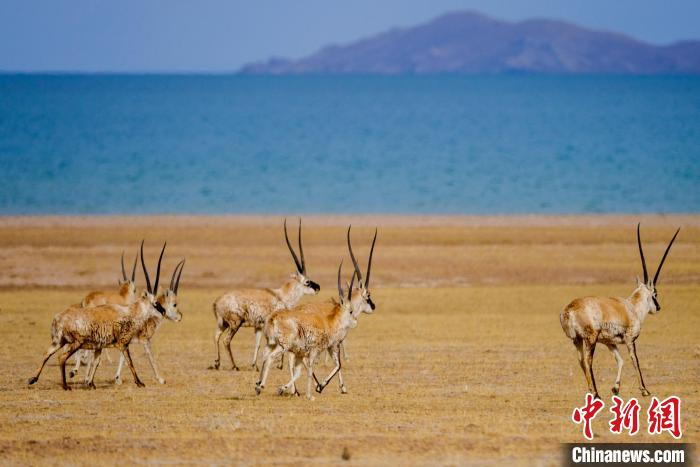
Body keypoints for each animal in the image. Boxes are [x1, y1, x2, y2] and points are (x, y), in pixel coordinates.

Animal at [208, 220, 318, 372]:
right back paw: (234, 366)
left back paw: (217, 363)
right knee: (226, 340)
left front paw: (255, 365)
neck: (281, 295)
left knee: (216, 336)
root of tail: (217, 302)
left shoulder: (259, 327)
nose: (318, 287)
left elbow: (257, 344)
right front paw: (279, 365)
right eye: (307, 282)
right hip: (235, 323)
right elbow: (276, 342)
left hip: (223, 323)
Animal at [560, 224, 680, 398]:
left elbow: (620, 360)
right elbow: (634, 360)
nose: (658, 307)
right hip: (590, 339)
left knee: (581, 361)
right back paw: (596, 394)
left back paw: (592, 391)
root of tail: (570, 309)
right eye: (655, 294)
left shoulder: (610, 343)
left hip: (577, 340)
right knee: (588, 361)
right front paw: (644, 390)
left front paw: (615, 388)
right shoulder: (630, 340)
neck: (632, 306)